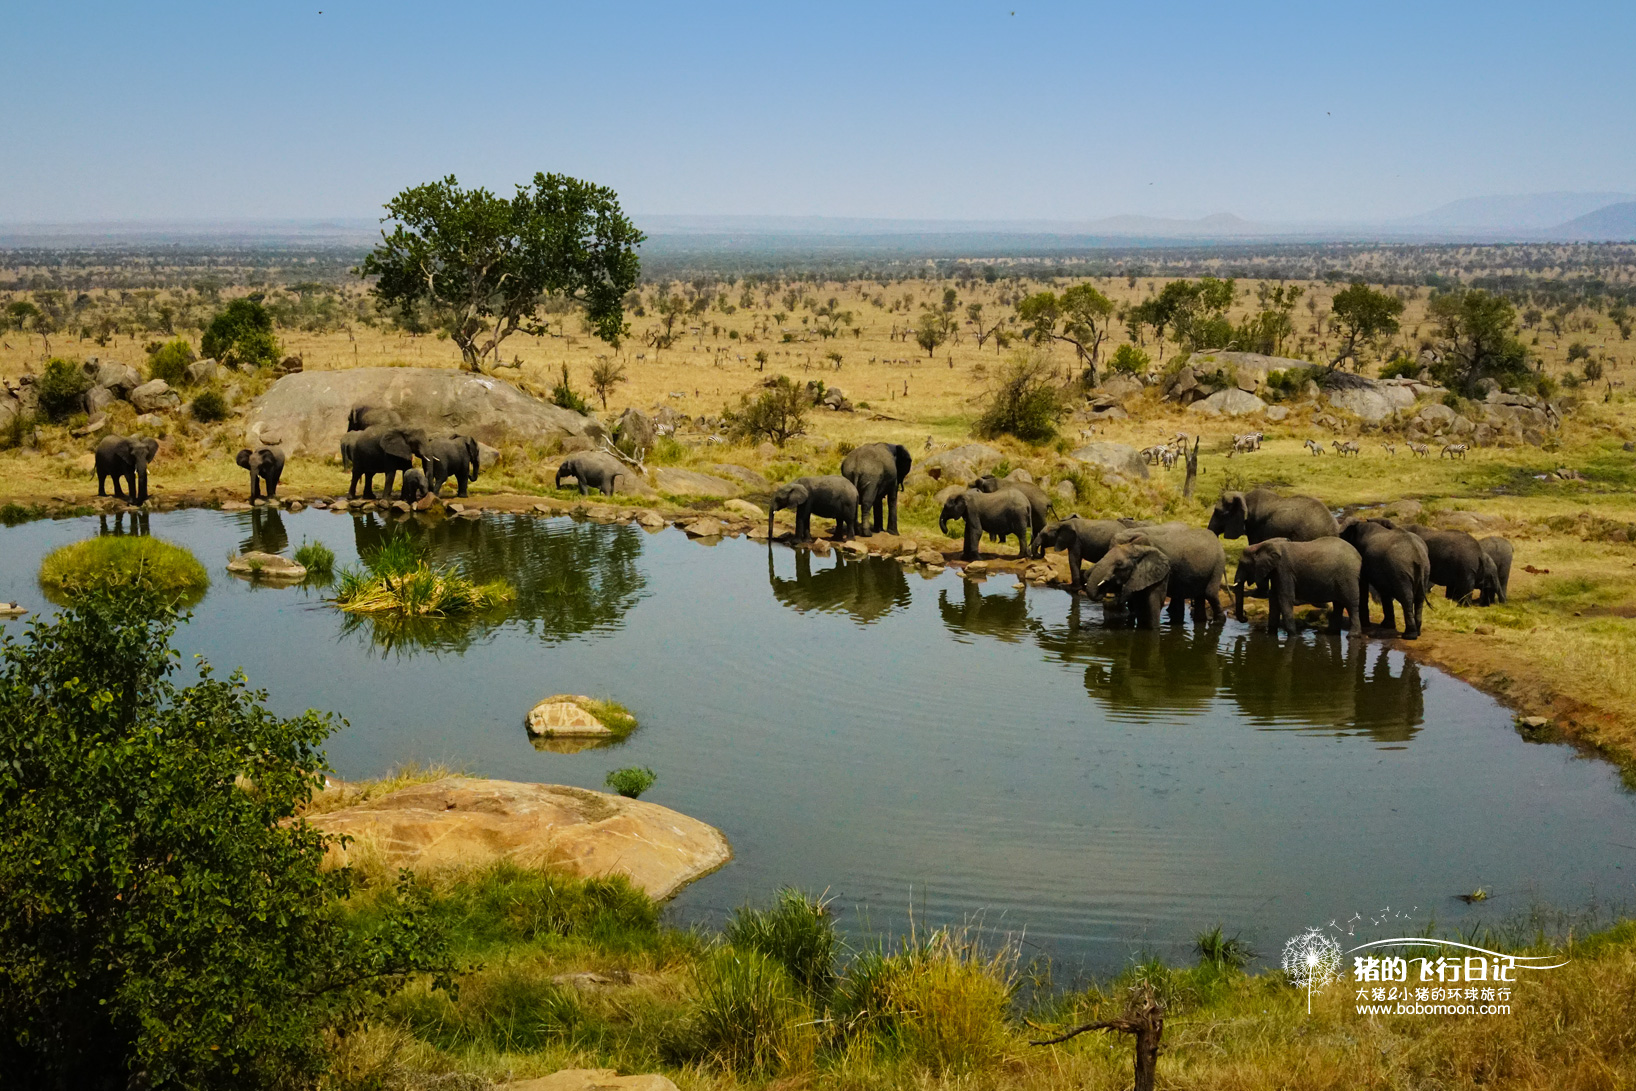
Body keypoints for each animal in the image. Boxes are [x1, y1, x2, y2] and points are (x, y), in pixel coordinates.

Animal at [1230, 539, 1361, 641]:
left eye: (1243, 564)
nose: (1245, 618)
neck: (1263, 545)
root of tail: (1358, 556)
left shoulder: (1284, 570)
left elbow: (1285, 598)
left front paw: (1293, 636)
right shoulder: (1276, 572)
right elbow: (1274, 598)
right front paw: (1271, 634)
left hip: (1348, 577)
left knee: (1351, 605)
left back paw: (1352, 636)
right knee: (1338, 604)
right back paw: (1330, 633)